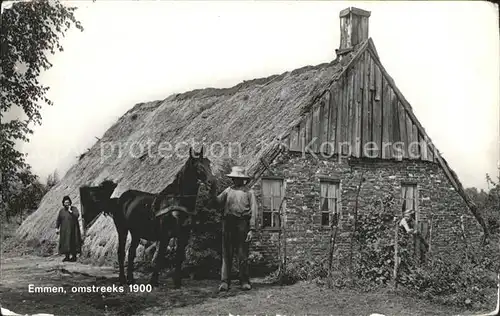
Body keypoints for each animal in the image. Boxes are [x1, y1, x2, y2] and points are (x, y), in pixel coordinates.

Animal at [81, 147, 216, 288]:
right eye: (198, 166)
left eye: (209, 163)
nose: (212, 182)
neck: (177, 203)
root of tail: (119, 199)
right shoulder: (165, 235)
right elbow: (160, 257)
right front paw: (153, 280)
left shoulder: (184, 235)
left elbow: (179, 257)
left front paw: (177, 282)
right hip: (122, 229)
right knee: (121, 252)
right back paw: (123, 279)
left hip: (136, 233)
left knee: (131, 253)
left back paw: (130, 279)